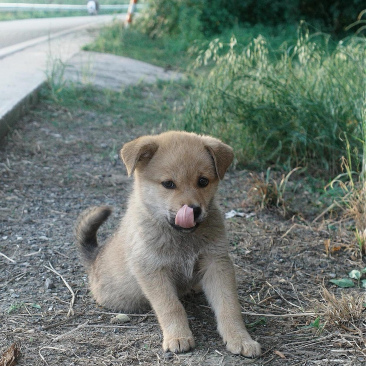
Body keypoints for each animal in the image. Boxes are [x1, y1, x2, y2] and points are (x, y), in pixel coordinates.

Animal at [76, 131, 262, 358]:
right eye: (168, 184)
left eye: (203, 181)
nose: (193, 210)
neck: (181, 237)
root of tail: (94, 259)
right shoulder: (153, 270)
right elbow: (171, 306)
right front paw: (178, 337)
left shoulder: (216, 262)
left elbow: (229, 305)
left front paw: (240, 338)